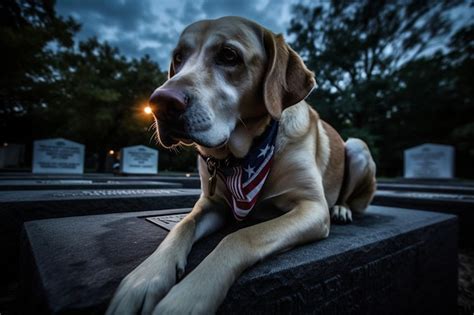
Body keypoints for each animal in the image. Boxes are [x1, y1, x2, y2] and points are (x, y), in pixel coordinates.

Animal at [106, 16, 374, 314]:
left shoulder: (312, 208)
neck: (242, 156)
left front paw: (188, 294)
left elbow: (241, 236)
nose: (160, 103)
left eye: (229, 55)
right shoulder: (211, 204)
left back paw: (341, 208)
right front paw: (145, 277)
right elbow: (182, 225)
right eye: (178, 58)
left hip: (357, 147)